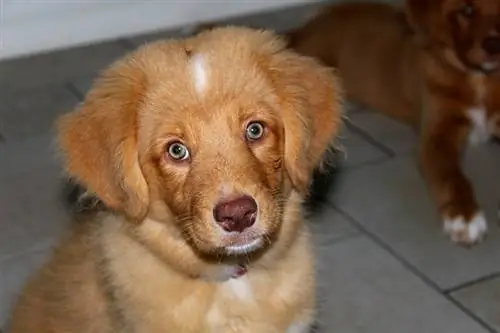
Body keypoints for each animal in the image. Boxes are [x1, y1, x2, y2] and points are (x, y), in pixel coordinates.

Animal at [292, 0, 500, 246]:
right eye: (467, 10)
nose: (493, 46)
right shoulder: (437, 135)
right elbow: (452, 176)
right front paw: (464, 216)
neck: (482, 80)